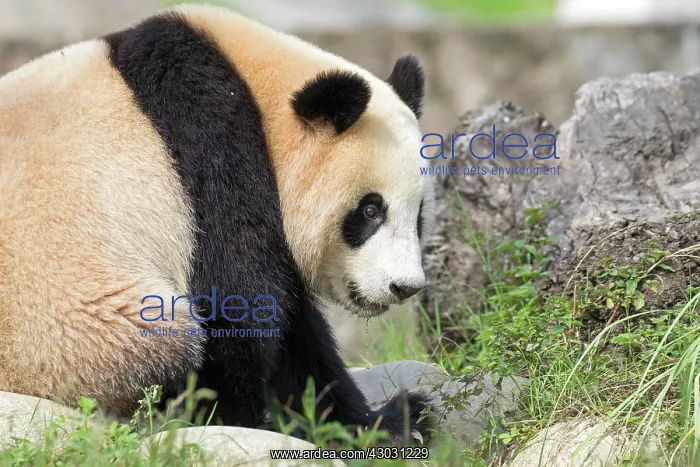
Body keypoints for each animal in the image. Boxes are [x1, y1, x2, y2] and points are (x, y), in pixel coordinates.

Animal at [0, 3, 436, 445]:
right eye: (370, 211)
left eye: (418, 215)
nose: (404, 287)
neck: (259, 90)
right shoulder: (211, 142)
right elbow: (238, 302)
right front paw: (252, 419)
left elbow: (298, 339)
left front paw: (389, 422)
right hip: (77, 333)